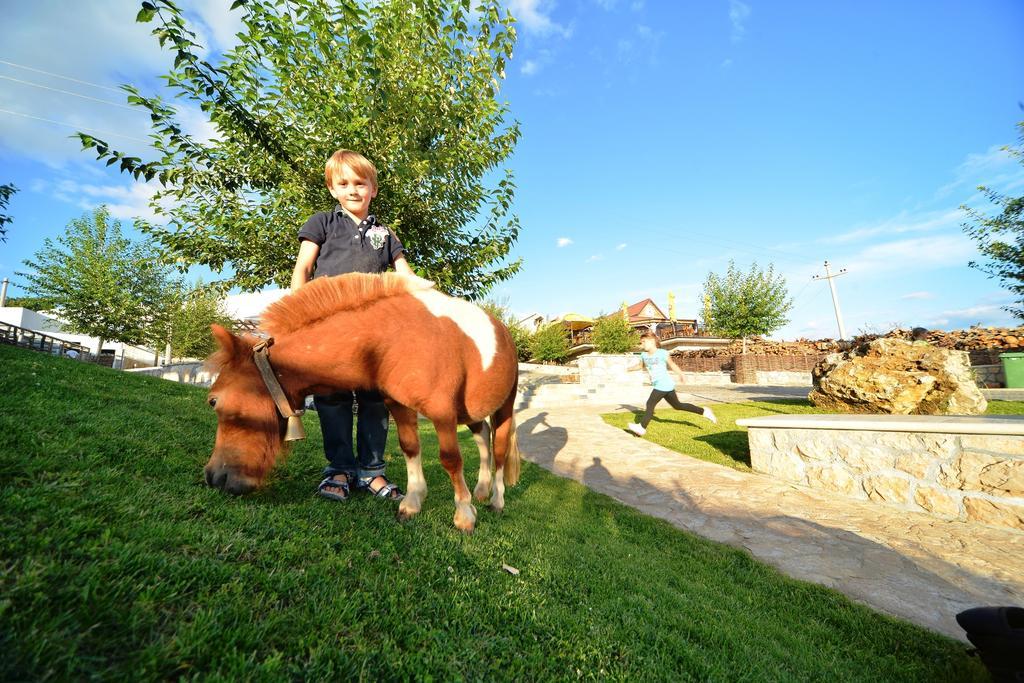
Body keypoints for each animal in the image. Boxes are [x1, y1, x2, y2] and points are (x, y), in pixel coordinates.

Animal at [201, 272, 520, 532]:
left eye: (214, 401)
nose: (213, 477)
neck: (393, 339)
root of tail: (505, 333)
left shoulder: (442, 414)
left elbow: (451, 459)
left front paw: (464, 513)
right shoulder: (399, 406)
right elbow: (410, 448)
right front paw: (413, 501)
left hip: (504, 406)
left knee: (500, 449)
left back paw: (496, 500)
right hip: (471, 412)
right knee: (483, 436)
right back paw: (481, 489)